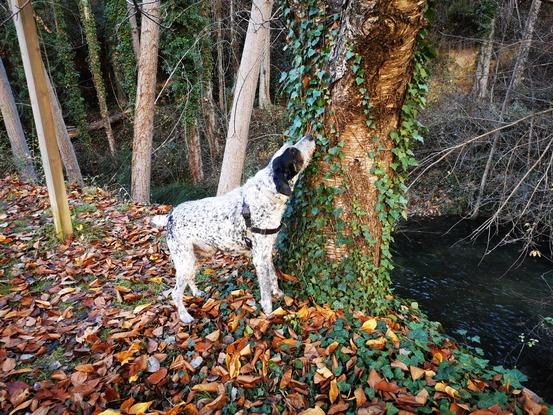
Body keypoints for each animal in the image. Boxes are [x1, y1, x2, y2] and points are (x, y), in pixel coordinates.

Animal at [151, 135, 314, 324]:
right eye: (293, 151)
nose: (310, 136)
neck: (266, 195)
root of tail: (170, 215)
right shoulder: (259, 258)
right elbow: (265, 291)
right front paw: (269, 312)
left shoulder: (266, 253)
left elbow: (273, 276)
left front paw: (278, 292)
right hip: (185, 260)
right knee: (176, 293)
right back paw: (185, 316)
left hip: (194, 258)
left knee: (190, 279)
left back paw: (197, 293)